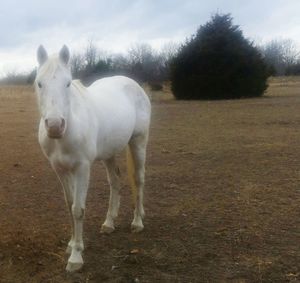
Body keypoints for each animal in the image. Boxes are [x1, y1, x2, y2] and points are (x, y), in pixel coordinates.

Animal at [34, 45, 151, 272]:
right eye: (39, 83)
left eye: (67, 83)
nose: (55, 126)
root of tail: (134, 85)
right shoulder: (60, 169)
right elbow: (69, 205)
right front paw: (71, 245)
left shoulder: (82, 168)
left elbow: (78, 209)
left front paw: (76, 257)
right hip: (109, 153)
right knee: (115, 181)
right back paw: (109, 224)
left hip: (139, 142)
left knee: (139, 179)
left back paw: (137, 222)